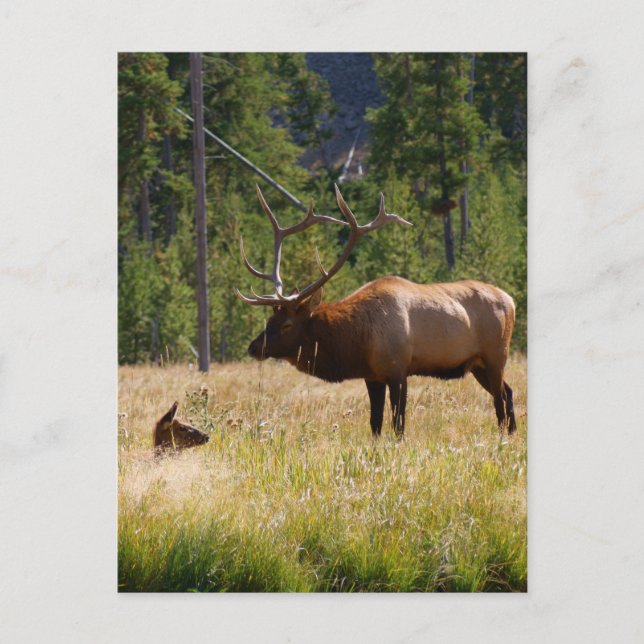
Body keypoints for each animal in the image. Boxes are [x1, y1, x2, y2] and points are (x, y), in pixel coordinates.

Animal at [234, 185, 517, 437]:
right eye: (270, 318)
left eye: (287, 325)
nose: (253, 347)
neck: (357, 341)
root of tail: (511, 300)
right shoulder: (373, 376)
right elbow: (375, 424)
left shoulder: (398, 370)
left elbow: (398, 425)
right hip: (478, 364)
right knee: (508, 392)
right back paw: (512, 433)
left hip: (496, 355)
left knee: (500, 400)